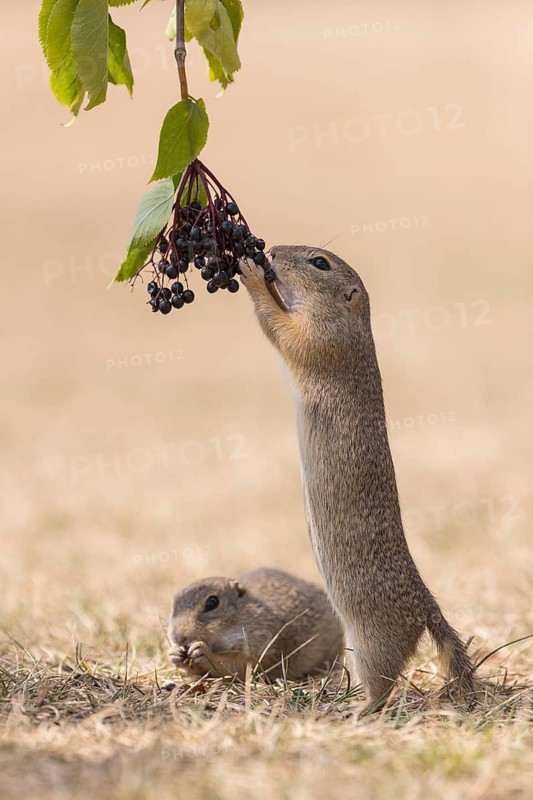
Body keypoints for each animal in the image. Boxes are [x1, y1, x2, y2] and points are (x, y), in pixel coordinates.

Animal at [168, 567, 344, 681]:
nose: (178, 638)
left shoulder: (262, 642)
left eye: (212, 602)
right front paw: (174, 654)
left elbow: (239, 665)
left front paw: (203, 652)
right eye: (173, 605)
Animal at [240, 245, 476, 707]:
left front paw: (251, 273)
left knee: (383, 684)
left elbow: (282, 328)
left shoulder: (321, 337)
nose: (272, 250)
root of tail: (425, 605)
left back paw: (357, 707)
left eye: (320, 263)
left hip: (372, 642)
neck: (352, 322)